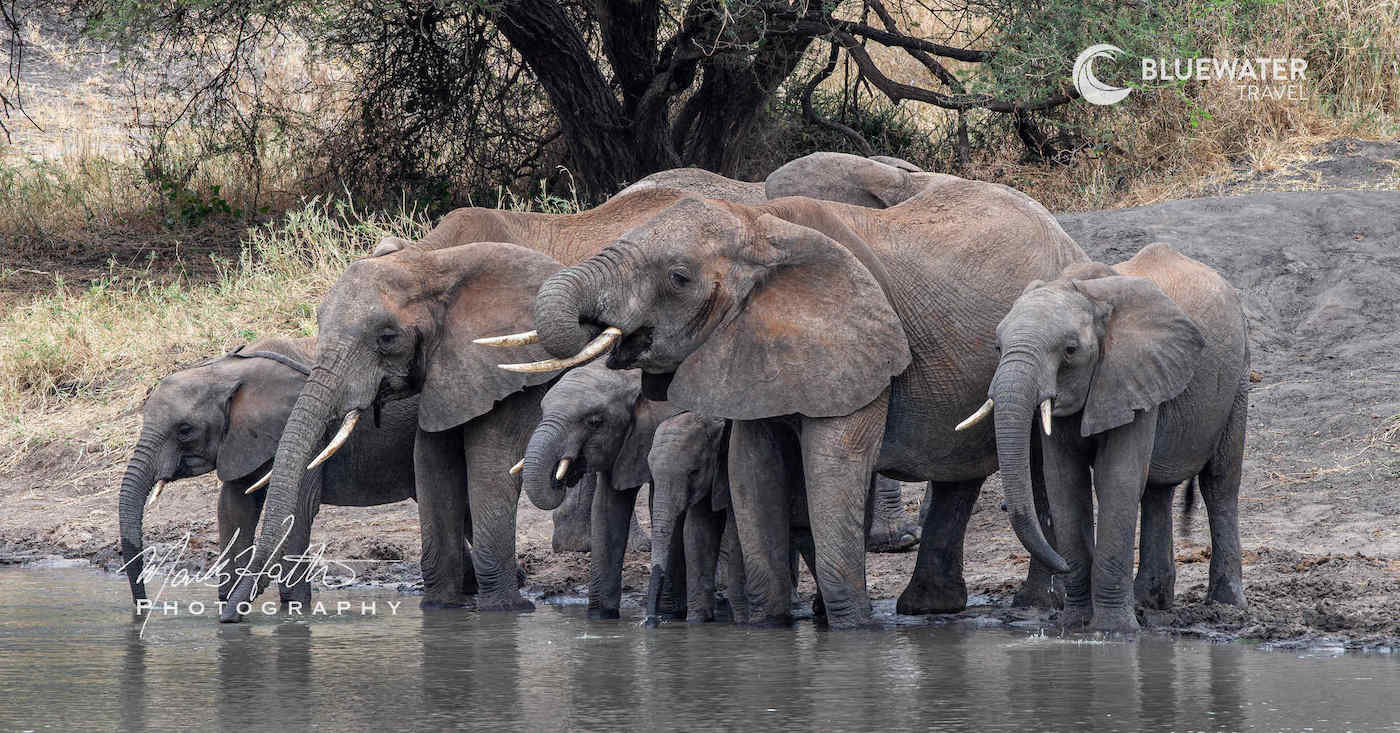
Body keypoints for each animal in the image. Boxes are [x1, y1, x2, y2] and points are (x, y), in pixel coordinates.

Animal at [117, 338, 425, 606]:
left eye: (184, 430)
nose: (144, 605)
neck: (228, 371)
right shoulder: (240, 439)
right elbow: (234, 507)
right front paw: (228, 599)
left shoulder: (309, 431)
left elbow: (298, 508)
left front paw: (294, 605)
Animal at [218, 242, 569, 622]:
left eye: (387, 338)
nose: (229, 617)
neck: (436, 264)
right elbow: (432, 466)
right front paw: (441, 609)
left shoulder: (509, 370)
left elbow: (490, 467)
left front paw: (506, 612)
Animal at [504, 177, 1087, 629]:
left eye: (678, 278)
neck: (762, 229)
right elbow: (751, 469)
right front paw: (771, 626)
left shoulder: (857, 344)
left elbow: (833, 464)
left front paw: (853, 629)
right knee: (957, 469)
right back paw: (928, 609)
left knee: (1033, 461)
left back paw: (1033, 608)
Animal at [963, 243, 1249, 633]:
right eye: (996, 347)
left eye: (1070, 350)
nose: (1059, 564)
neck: (1088, 293)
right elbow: (1065, 483)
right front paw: (1073, 626)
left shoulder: (1130, 373)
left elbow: (1118, 479)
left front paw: (1113, 632)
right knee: (1157, 490)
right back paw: (1150, 604)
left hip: (1239, 376)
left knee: (1219, 483)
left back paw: (1226, 606)